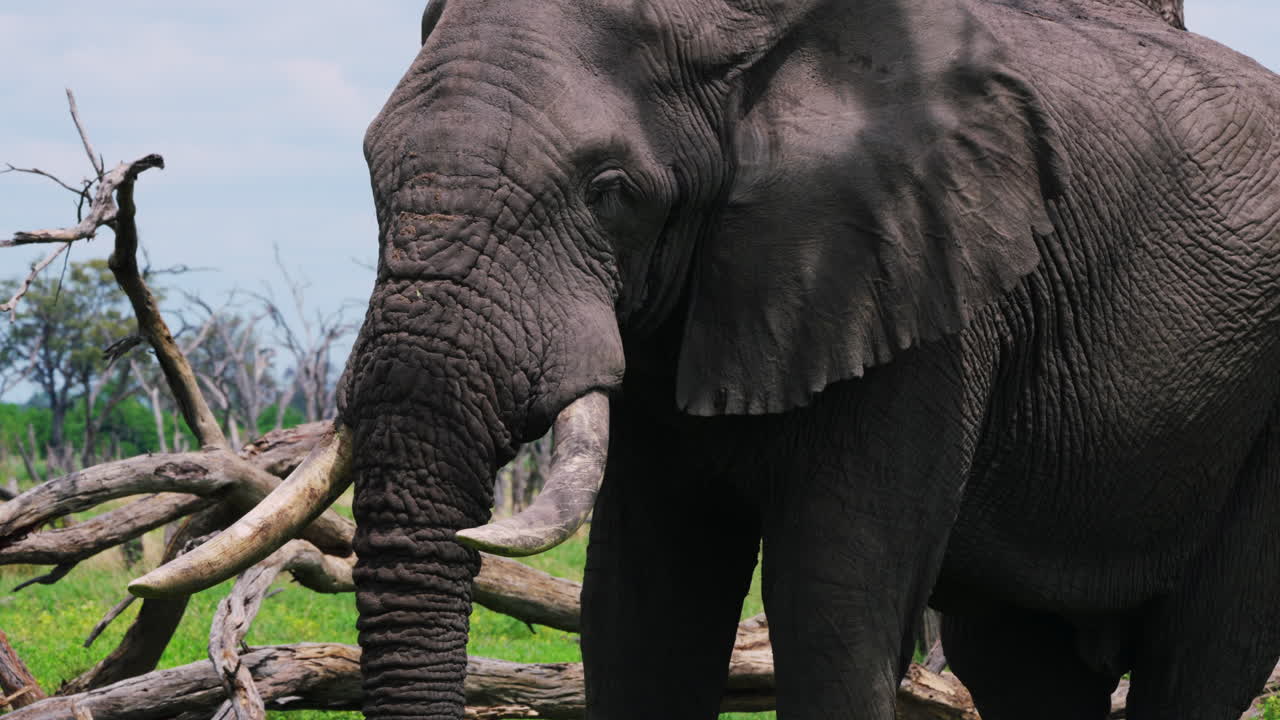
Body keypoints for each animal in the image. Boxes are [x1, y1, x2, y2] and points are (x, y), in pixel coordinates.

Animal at [130, 0, 1280, 717]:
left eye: (610, 192)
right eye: (371, 169)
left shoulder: (934, 285)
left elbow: (831, 607)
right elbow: (641, 612)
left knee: (1199, 662)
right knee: (1019, 665)